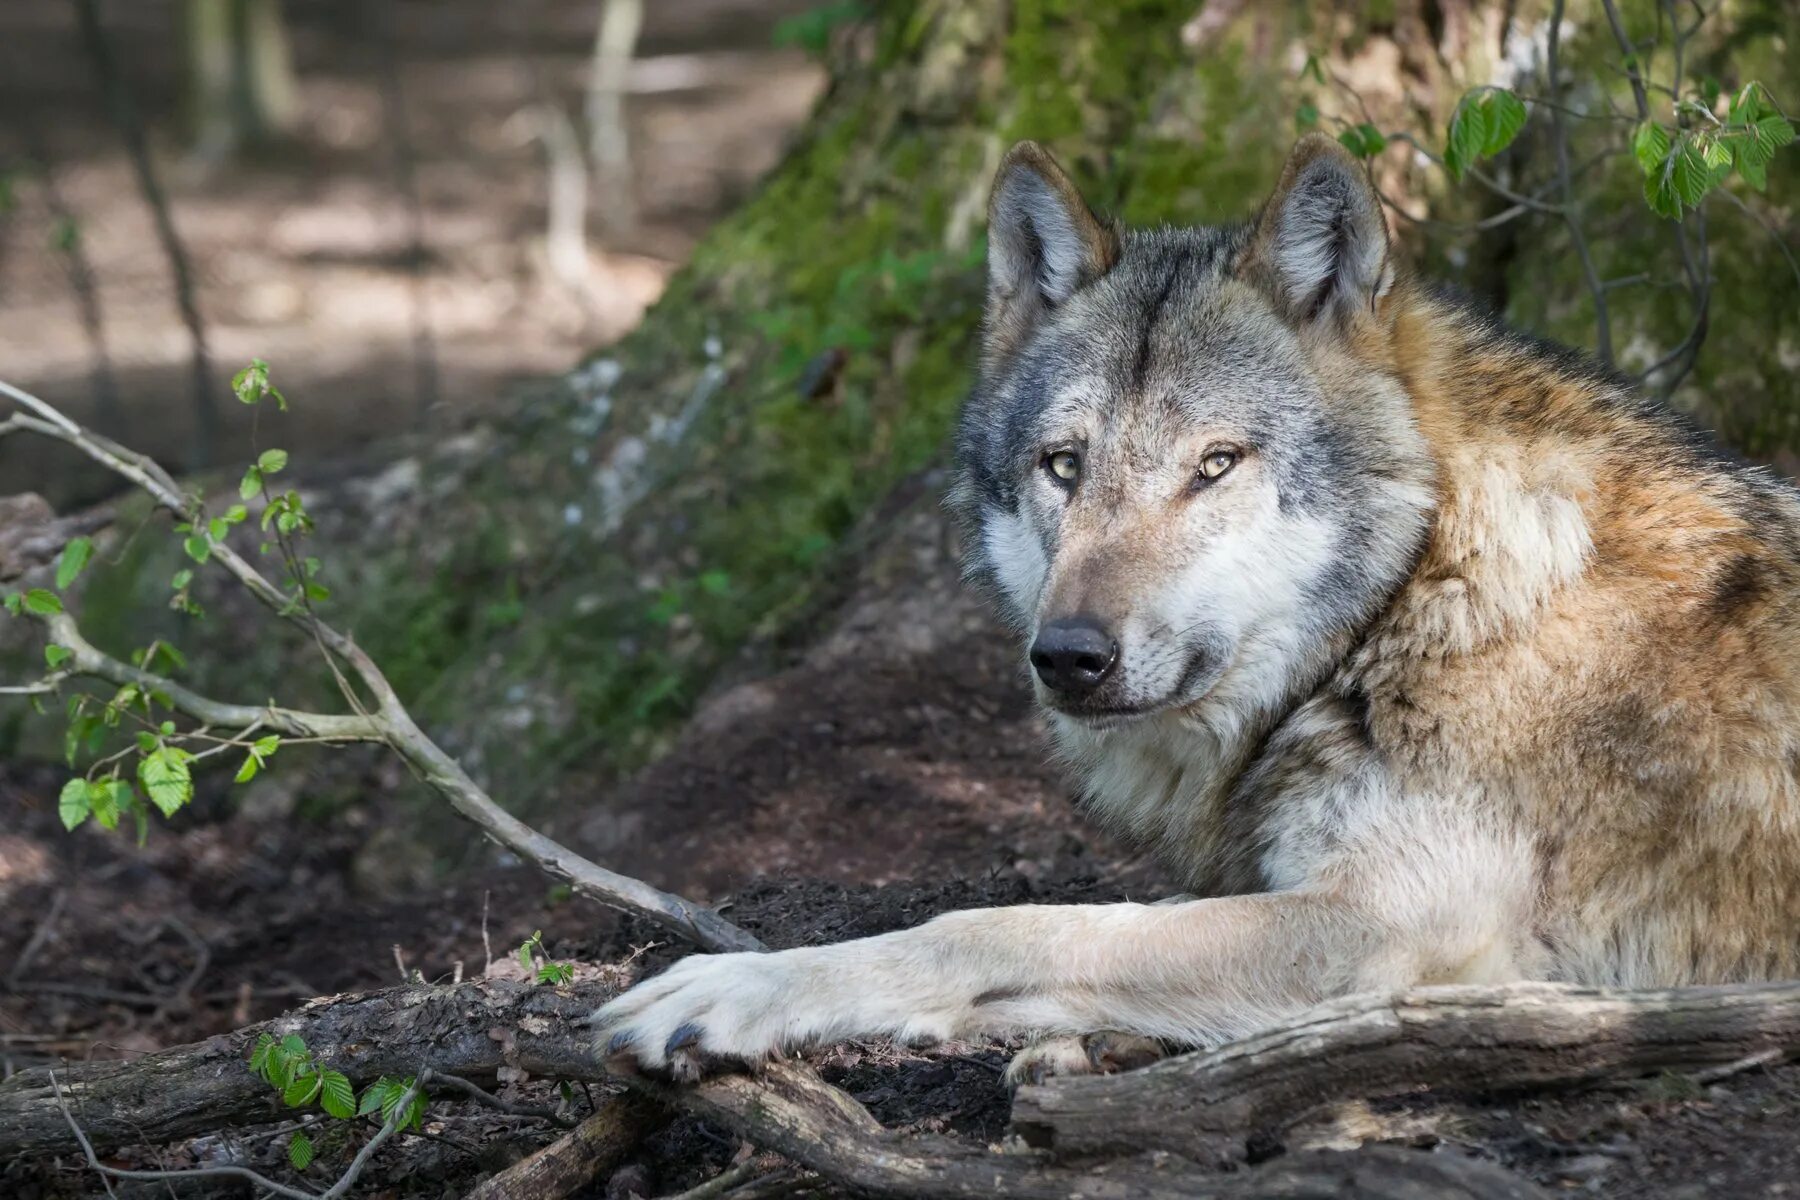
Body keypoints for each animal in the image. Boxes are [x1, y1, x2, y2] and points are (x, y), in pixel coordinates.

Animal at [590, 134, 1800, 1086]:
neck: (1419, 597)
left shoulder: (1390, 929)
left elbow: (1012, 926)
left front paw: (734, 989)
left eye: (1214, 464)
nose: (1070, 656)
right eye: (1064, 466)